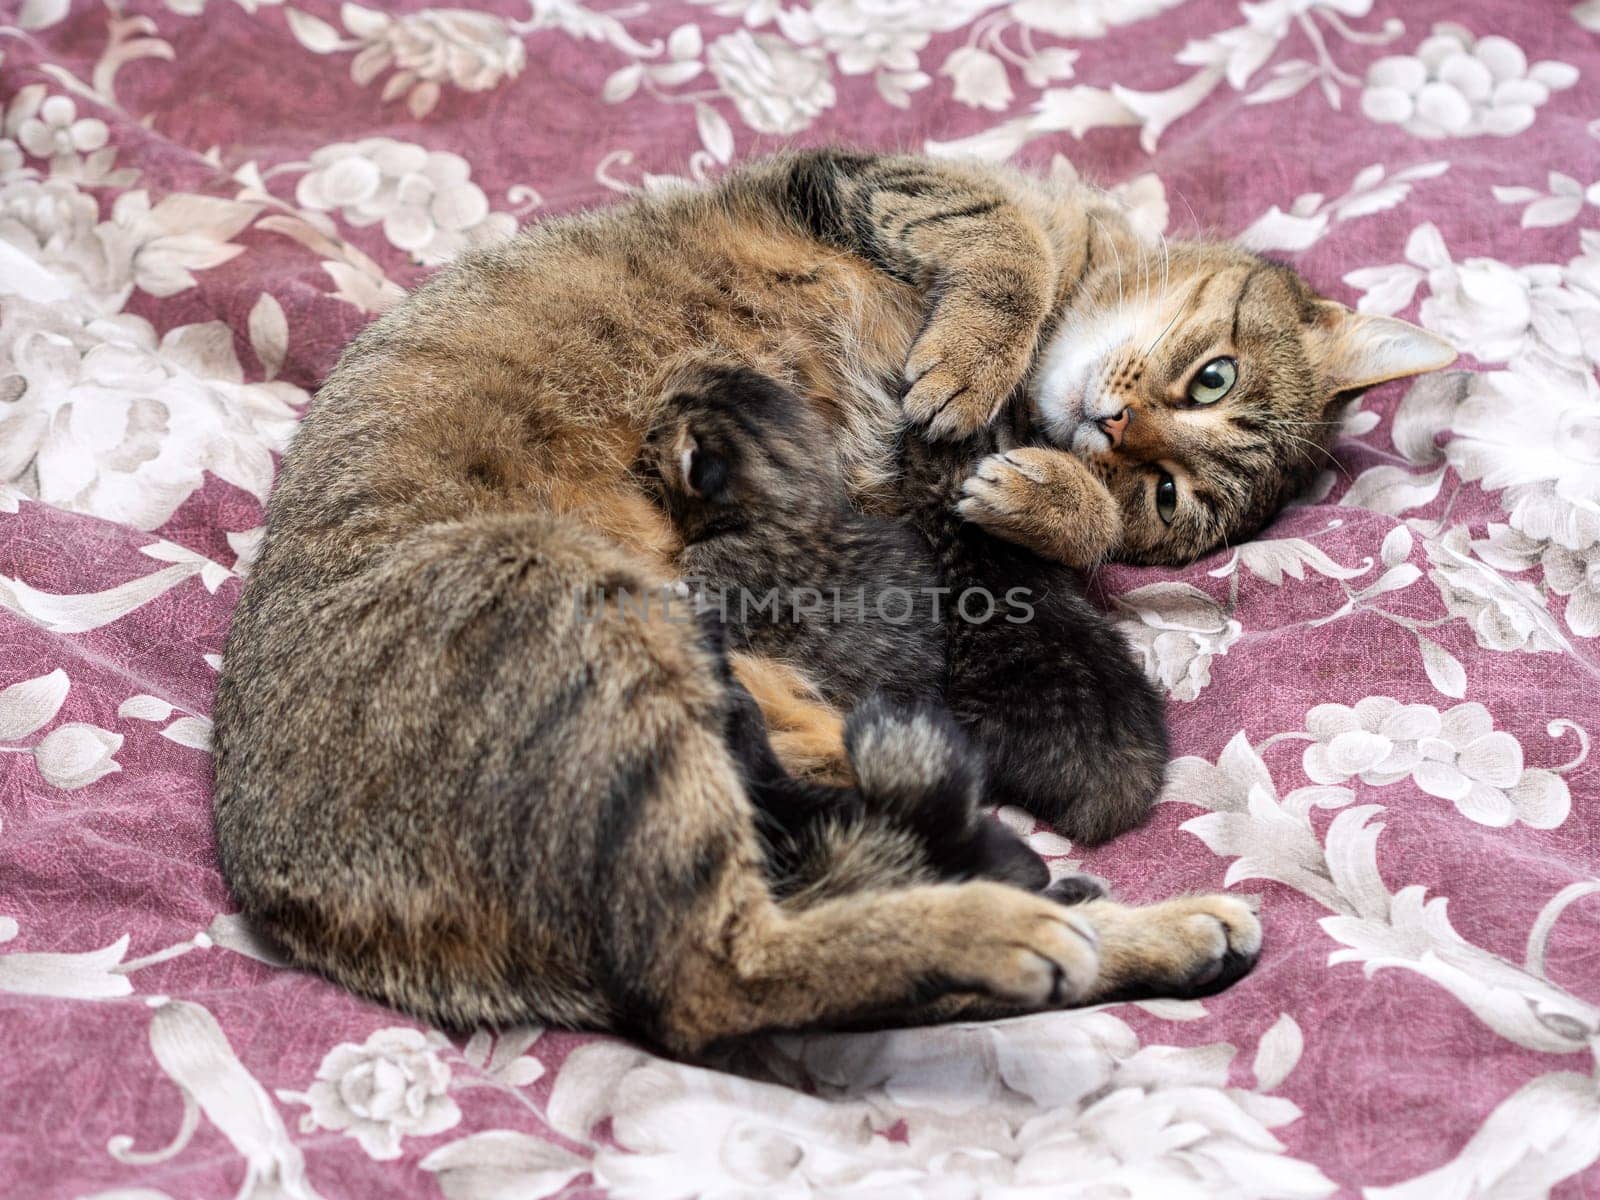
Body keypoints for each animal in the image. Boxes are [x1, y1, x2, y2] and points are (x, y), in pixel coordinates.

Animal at [216, 148, 1465, 1049]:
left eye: (1164, 493)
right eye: (1210, 378)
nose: (1112, 433)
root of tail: (290, 894)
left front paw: (1055, 492)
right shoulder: (863, 179)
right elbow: (999, 241)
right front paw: (984, 366)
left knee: (727, 978)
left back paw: (1071, 926)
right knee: (734, 966)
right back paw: (1047, 917)